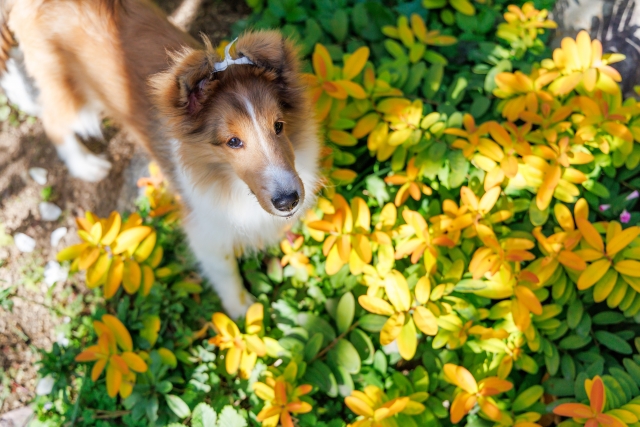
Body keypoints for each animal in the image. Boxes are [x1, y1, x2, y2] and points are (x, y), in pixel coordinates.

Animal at [0, 0, 320, 320]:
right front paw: (244, 313)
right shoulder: (205, 231)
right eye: (233, 141)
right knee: (53, 120)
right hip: (67, 89)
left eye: (278, 126)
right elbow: (226, 273)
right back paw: (86, 164)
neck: (226, 177)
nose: (288, 201)